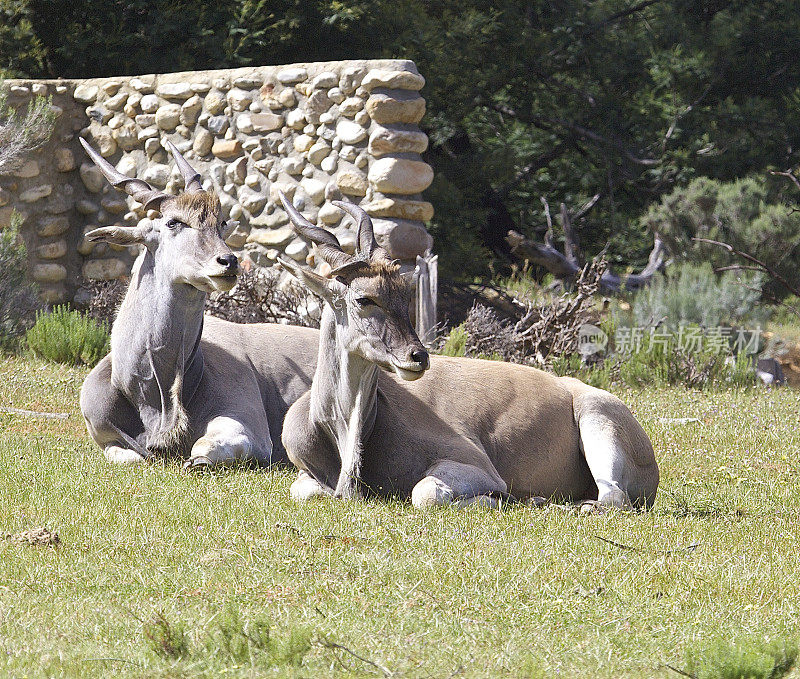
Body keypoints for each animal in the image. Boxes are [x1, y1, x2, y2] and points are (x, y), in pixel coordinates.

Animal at [79, 141, 318, 470]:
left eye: (222, 223)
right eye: (173, 222)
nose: (228, 262)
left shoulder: (251, 431)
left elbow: (206, 448)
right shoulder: (106, 439)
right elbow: (129, 456)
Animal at [278, 194, 660, 508]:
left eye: (405, 293)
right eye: (364, 299)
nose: (418, 357)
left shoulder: (478, 466)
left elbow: (426, 494)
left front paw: (492, 500)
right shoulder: (305, 478)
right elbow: (303, 492)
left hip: (596, 417)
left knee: (614, 498)